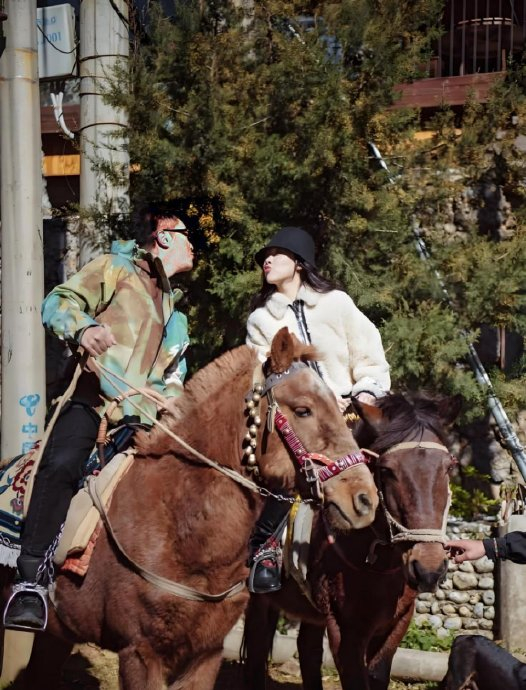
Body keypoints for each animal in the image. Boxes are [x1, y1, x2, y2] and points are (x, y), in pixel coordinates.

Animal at [1, 327, 378, 690]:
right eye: (303, 410)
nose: (364, 499)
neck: (181, 526)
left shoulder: (205, 654)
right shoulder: (140, 653)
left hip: (56, 636)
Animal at [243, 391, 462, 690]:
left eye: (448, 467)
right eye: (387, 470)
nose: (429, 568)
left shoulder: (396, 623)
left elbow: (377, 674)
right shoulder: (344, 629)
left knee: (307, 650)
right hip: (259, 598)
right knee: (256, 648)